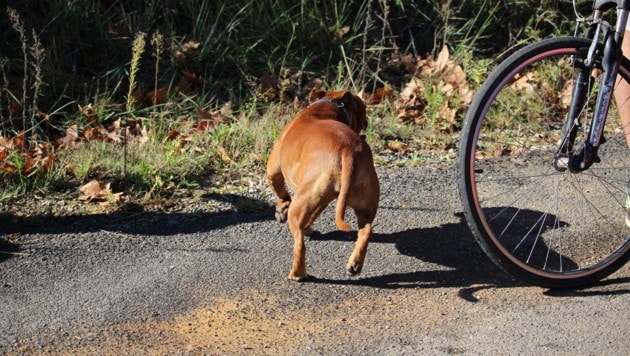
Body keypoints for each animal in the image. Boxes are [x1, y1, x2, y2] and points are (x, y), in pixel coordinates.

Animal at [266, 89, 380, 280]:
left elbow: (279, 190)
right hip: (364, 203)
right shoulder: (322, 201)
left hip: (300, 204)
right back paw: (354, 265)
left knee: (299, 243)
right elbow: (312, 216)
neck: (328, 106)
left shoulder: (273, 168)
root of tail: (348, 149)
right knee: (366, 231)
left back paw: (297, 274)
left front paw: (281, 209)